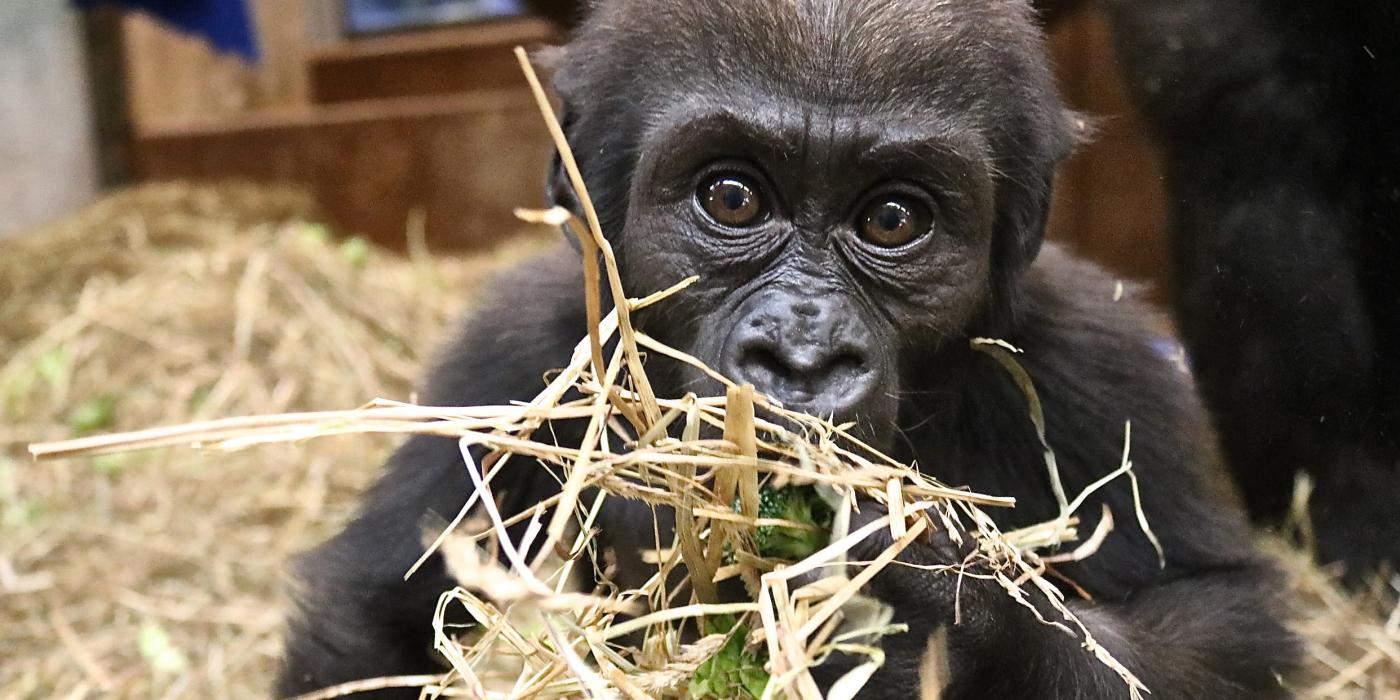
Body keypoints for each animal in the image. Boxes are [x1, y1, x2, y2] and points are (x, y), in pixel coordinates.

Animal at [275, 1, 1299, 700]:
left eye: (893, 219)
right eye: (731, 198)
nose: (803, 359)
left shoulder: (1101, 360)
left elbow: (1218, 616)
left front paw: (957, 616)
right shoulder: (506, 354)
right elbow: (383, 613)